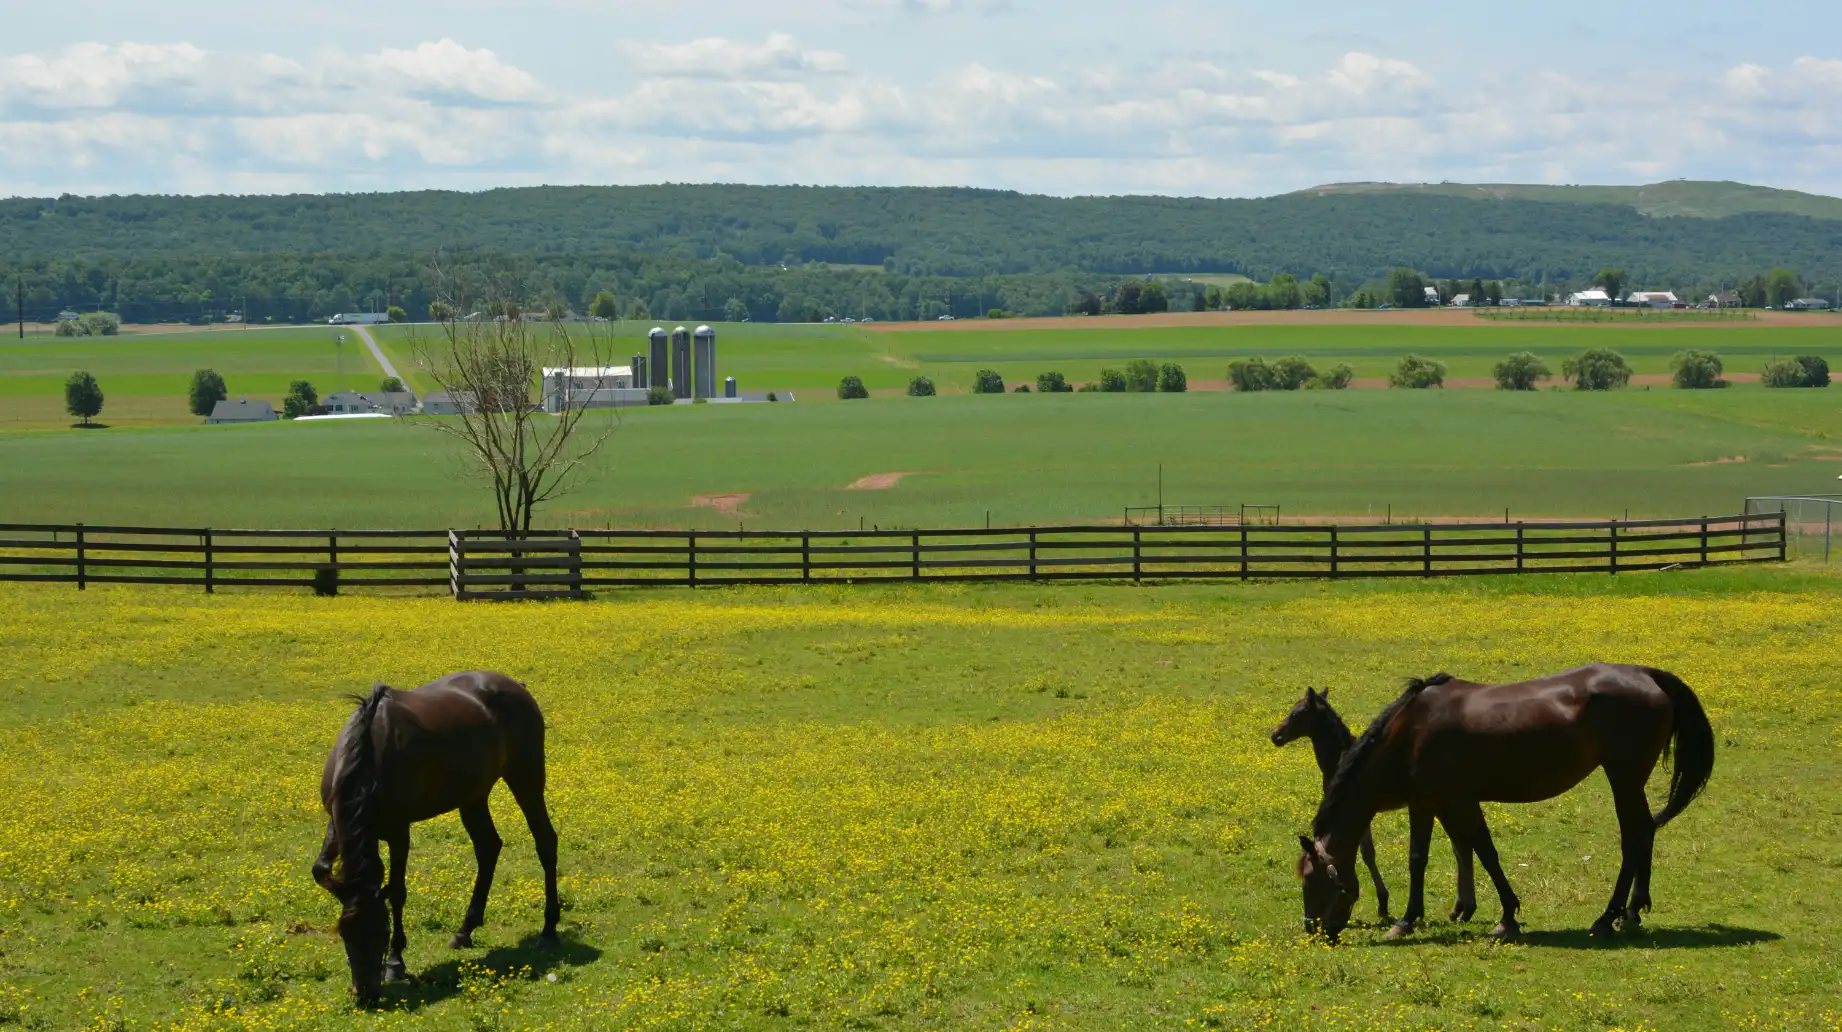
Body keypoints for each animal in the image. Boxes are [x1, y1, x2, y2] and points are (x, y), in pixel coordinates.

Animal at [311, 671, 561, 1002]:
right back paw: (465, 930)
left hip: (526, 776)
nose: (366, 994)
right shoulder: (335, 822)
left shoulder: (399, 831)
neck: (367, 758)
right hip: (473, 795)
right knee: (488, 847)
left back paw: (549, 930)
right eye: (345, 933)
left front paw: (395, 963)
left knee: (545, 842)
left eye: (382, 933)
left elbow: (397, 892)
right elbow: (320, 869)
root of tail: (516, 687)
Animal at [1271, 687, 1477, 927]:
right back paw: (1460, 909)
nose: (1275, 736)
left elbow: (1367, 853)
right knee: (1462, 848)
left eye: (1296, 713)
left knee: (1462, 848)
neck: (1339, 758)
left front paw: (1383, 904)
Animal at [1296, 665, 1713, 943]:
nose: (1313, 930)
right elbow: (1466, 852)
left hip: (1623, 779)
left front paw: (1410, 920)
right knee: (1644, 832)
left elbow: (1447, 856)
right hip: (1628, 781)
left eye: (1311, 878)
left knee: (1634, 838)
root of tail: (1647, 675)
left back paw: (1606, 917)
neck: (1410, 734)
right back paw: (1631, 912)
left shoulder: (1440, 801)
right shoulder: (1446, 801)